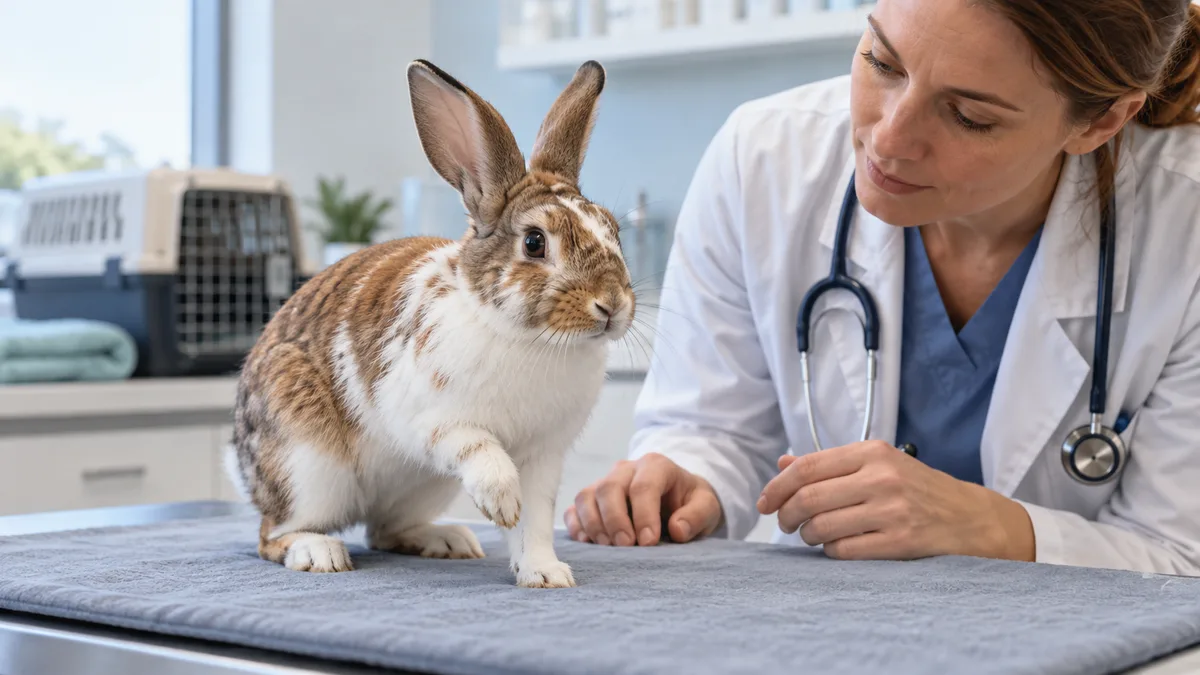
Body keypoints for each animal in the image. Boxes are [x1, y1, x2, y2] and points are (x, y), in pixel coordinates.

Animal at [224, 58, 635, 588]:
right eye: (534, 242)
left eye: (614, 231)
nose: (612, 305)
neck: (526, 337)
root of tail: (242, 462)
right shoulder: (429, 419)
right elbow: (479, 450)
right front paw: (500, 502)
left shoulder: (542, 457)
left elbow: (535, 523)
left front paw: (545, 574)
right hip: (306, 467)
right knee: (273, 533)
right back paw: (319, 552)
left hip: (420, 487)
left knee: (384, 528)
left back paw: (449, 540)